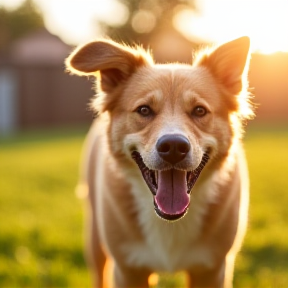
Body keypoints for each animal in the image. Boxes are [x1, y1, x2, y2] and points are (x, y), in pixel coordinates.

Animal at [66, 36, 254, 288]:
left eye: (199, 110)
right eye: (144, 110)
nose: (173, 147)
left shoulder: (212, 268)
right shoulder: (128, 269)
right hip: (95, 238)